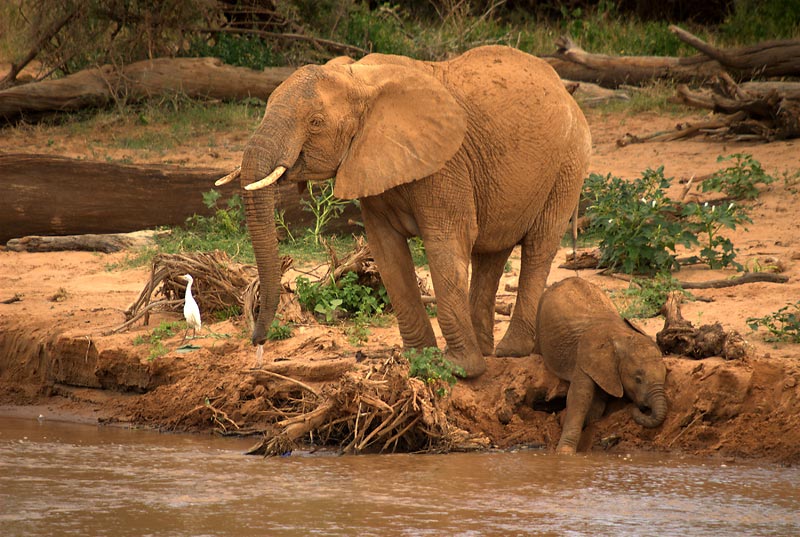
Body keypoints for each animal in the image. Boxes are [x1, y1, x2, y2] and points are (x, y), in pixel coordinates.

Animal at [216, 46, 592, 378]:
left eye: (316, 122)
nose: (258, 342)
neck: (360, 79)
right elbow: (387, 252)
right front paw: (419, 360)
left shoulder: (446, 163)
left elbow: (447, 244)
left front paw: (458, 371)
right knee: (492, 252)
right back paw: (487, 350)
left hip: (569, 162)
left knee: (538, 247)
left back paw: (510, 352)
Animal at [536, 276, 668, 452]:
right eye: (637, 379)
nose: (640, 408)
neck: (622, 337)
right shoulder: (584, 359)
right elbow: (579, 398)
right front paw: (565, 452)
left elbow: (597, 403)